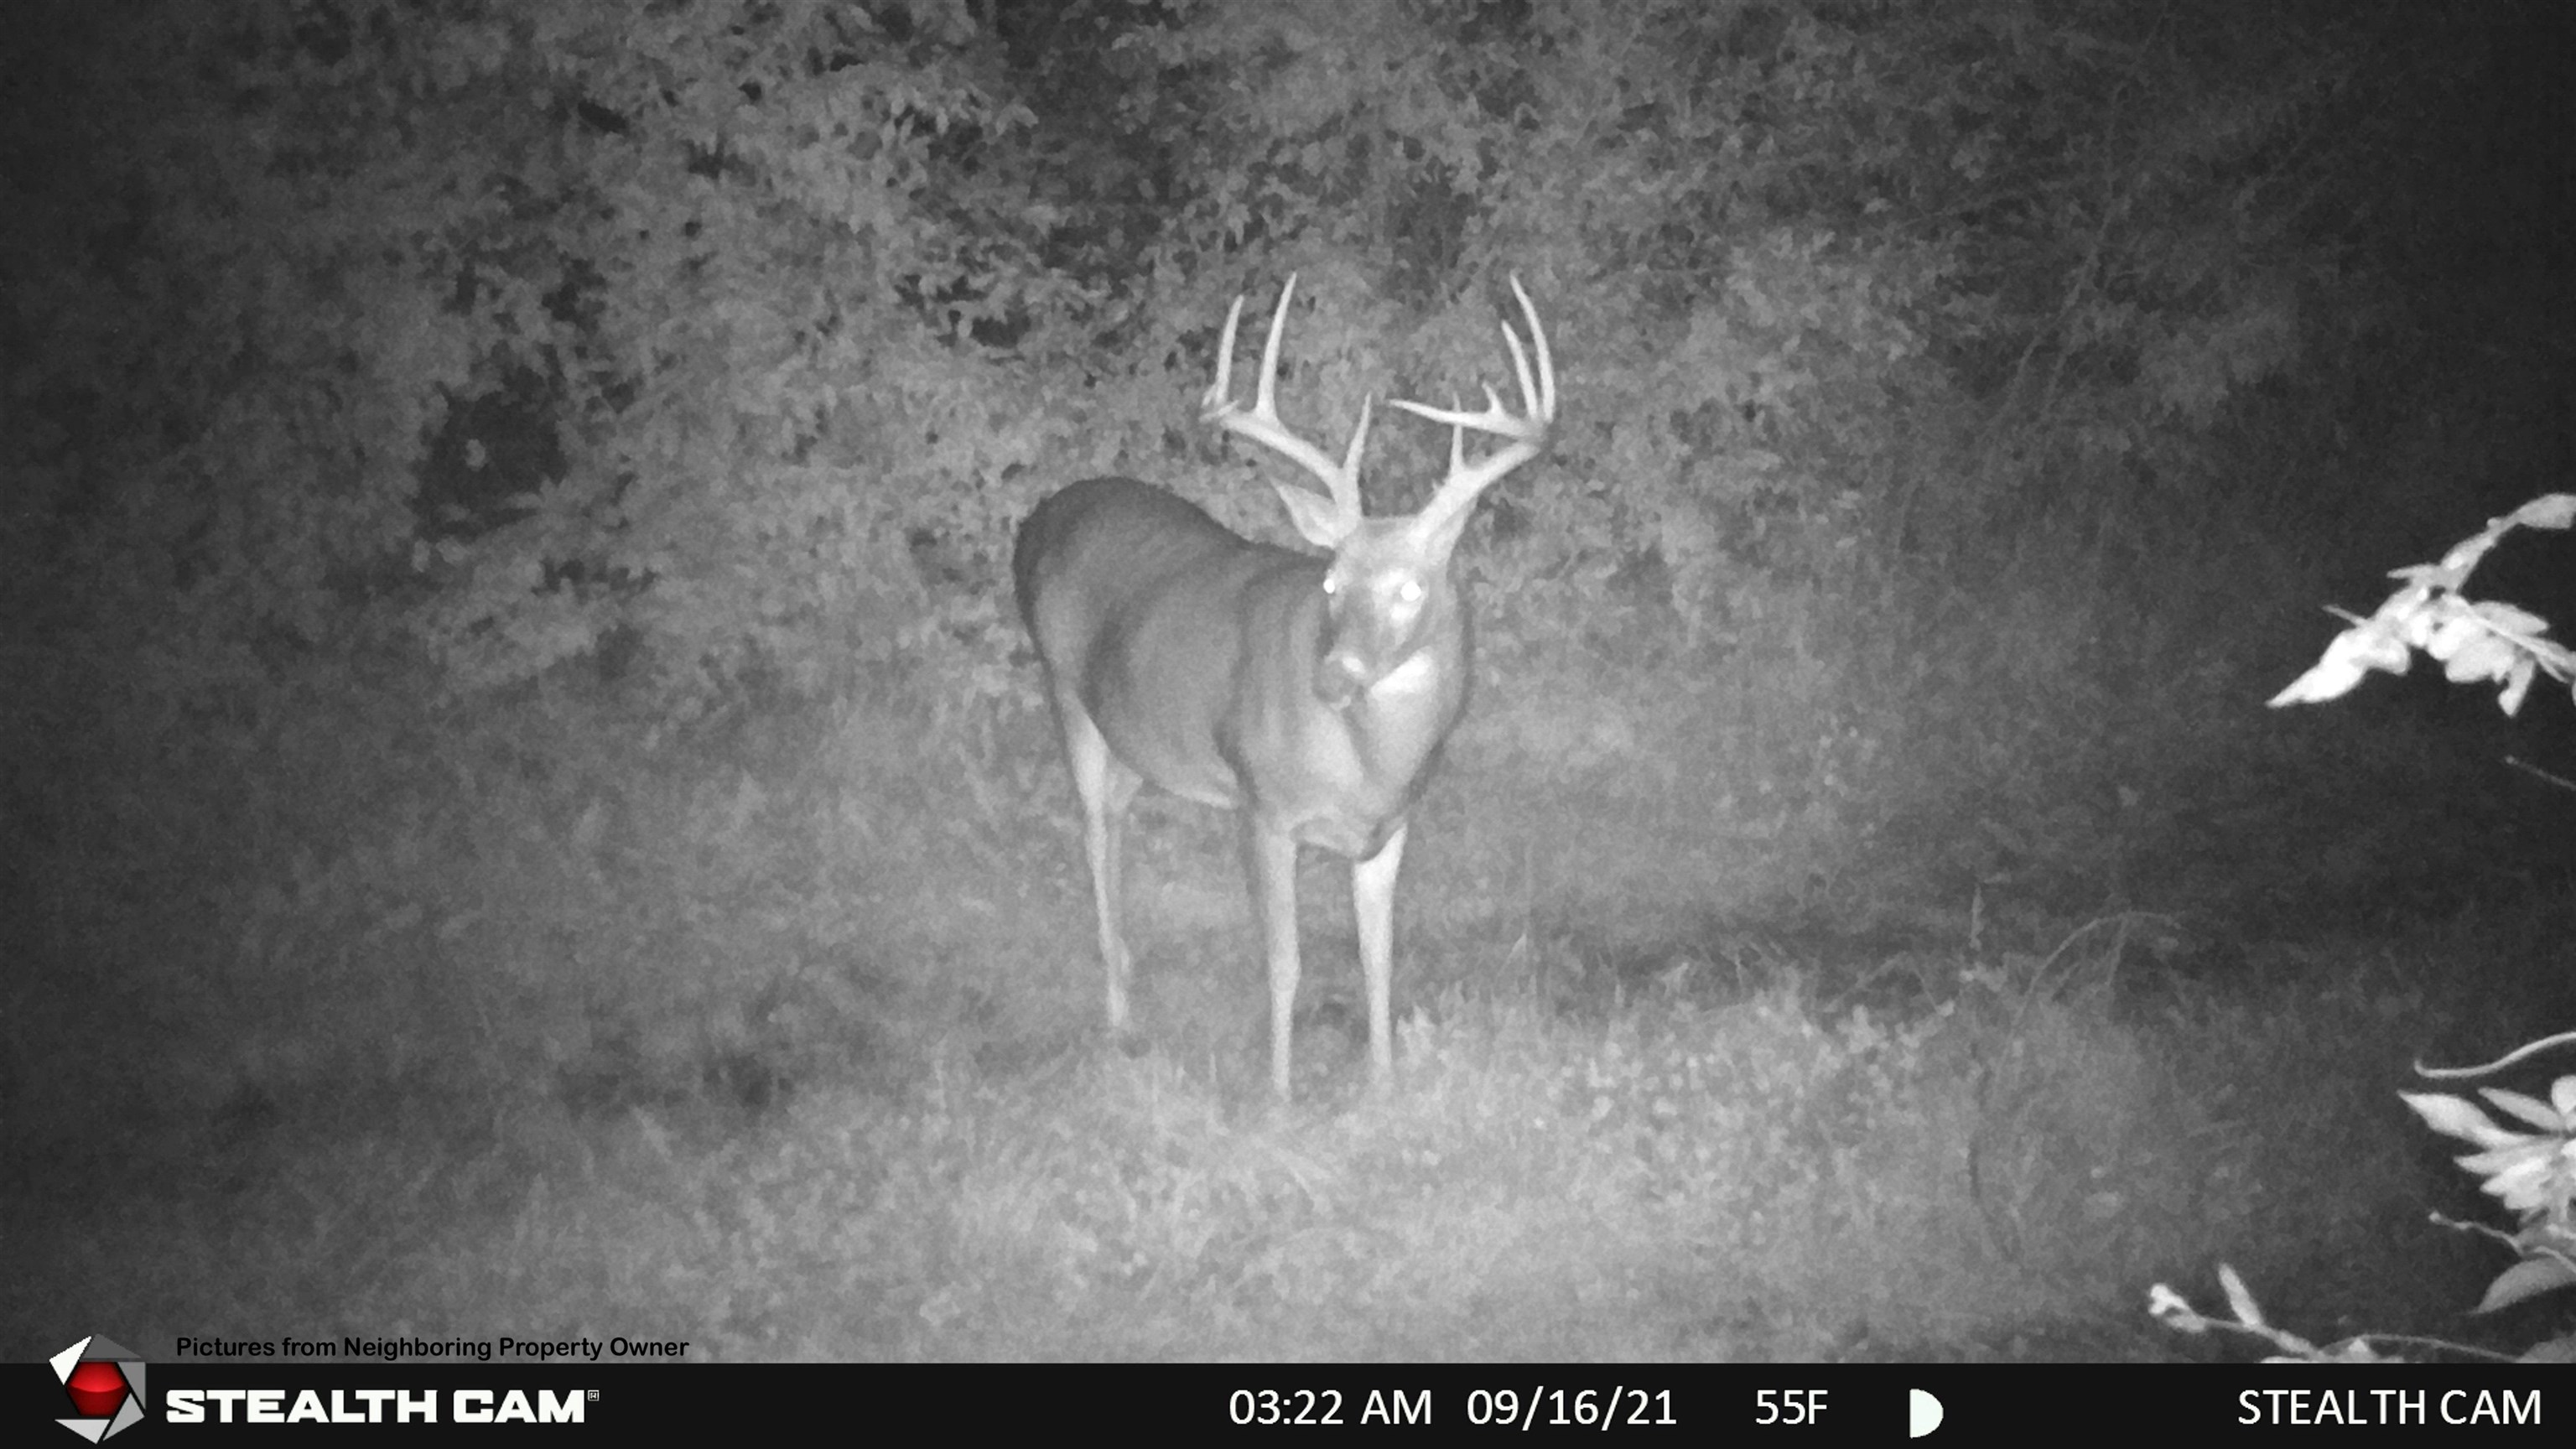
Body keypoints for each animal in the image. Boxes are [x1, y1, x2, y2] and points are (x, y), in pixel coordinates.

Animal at [1011, 274, 1556, 1100]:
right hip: (1064, 693)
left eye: (1410, 588)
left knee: (1117, 823)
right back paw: (1121, 1021)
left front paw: (1384, 1084)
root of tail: (1038, 517)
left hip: (1133, 734)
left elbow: (1377, 955)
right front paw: (1279, 1096)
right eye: (1331, 582)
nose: (1333, 678)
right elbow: (1285, 962)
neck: (1366, 762)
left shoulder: (1390, 827)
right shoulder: (1263, 808)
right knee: (1095, 841)